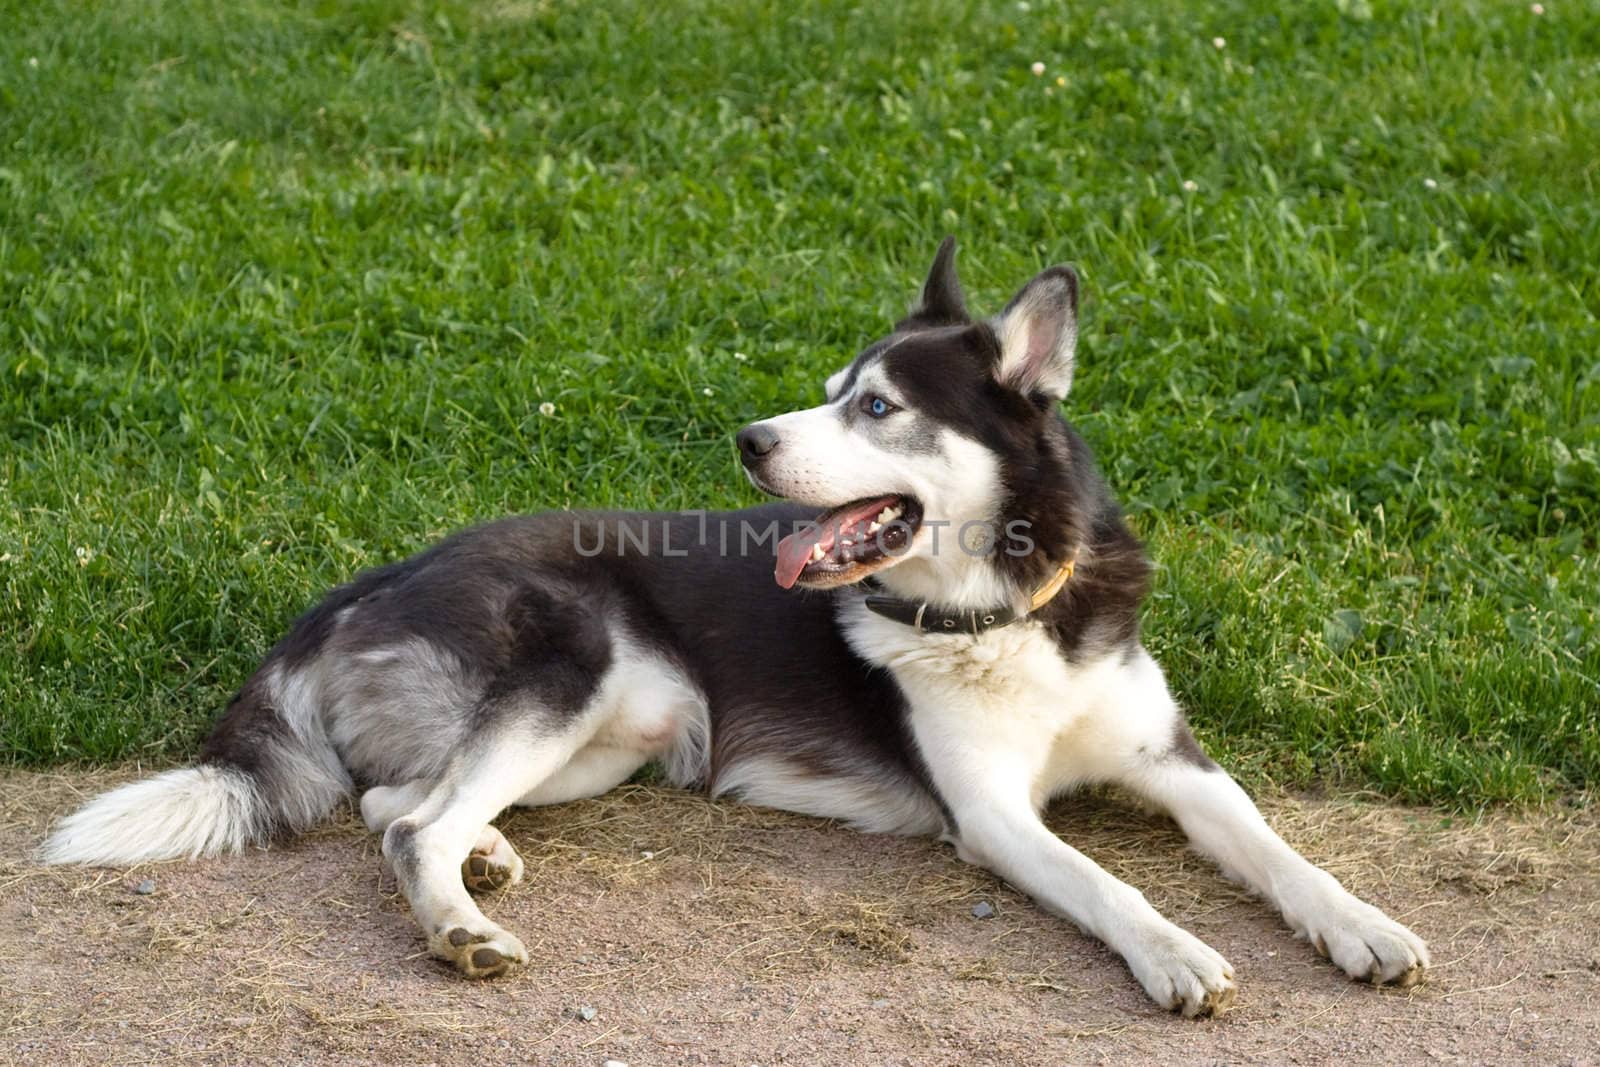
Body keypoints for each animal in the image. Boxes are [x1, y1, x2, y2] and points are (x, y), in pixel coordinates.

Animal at [43, 241, 1433, 1017]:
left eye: (874, 405)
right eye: (827, 392)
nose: (749, 439)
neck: (1004, 608)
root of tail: (358, 583)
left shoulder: (1175, 763)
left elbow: (1280, 849)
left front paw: (1362, 925)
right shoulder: (991, 814)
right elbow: (1110, 881)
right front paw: (1175, 950)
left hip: (608, 737)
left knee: (398, 806)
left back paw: (485, 857)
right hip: (573, 668)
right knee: (409, 826)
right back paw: (463, 925)